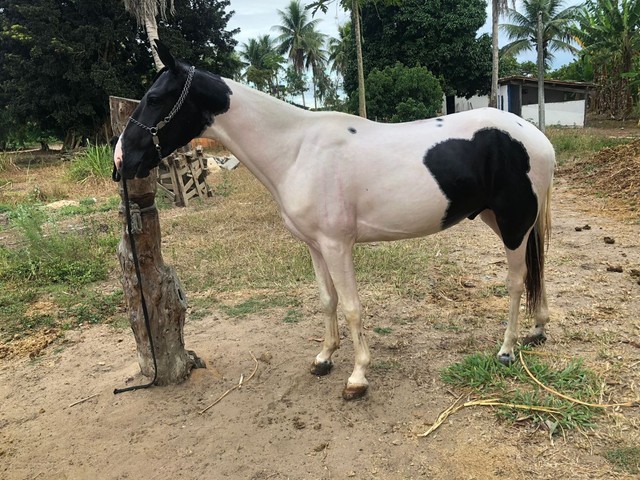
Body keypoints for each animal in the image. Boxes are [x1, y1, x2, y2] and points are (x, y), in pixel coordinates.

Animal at [115, 42, 556, 402]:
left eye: (155, 97)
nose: (121, 161)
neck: (297, 150)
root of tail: (535, 137)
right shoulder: (314, 245)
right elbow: (327, 300)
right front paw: (324, 357)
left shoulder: (336, 245)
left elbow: (352, 307)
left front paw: (358, 377)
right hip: (502, 220)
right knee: (535, 273)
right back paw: (537, 329)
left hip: (513, 224)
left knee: (516, 281)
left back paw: (506, 349)